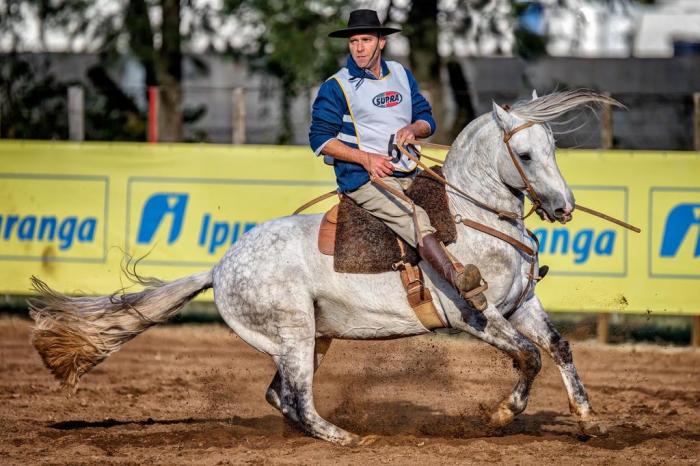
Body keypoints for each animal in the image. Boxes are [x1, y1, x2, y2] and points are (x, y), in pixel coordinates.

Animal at [30, 90, 616, 444]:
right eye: (528, 155)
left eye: (554, 147)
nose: (563, 207)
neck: (473, 218)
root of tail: (219, 268)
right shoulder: (476, 316)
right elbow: (528, 358)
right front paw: (499, 414)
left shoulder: (522, 305)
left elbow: (557, 348)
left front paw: (588, 418)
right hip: (292, 331)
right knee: (296, 397)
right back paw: (344, 437)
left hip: (311, 337)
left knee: (281, 394)